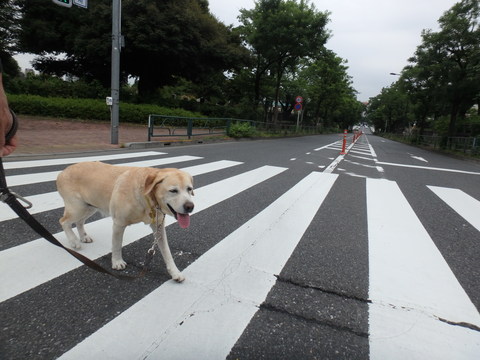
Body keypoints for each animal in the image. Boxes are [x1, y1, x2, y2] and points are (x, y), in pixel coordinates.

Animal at [57, 160, 195, 282]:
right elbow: (117, 245)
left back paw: (83, 237)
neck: (147, 197)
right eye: (173, 190)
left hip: (89, 207)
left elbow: (167, 253)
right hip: (78, 208)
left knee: (79, 222)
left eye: (189, 189)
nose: (190, 207)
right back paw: (74, 241)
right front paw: (117, 262)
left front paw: (175, 272)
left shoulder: (158, 227)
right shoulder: (119, 223)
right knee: (64, 221)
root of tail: (62, 172)